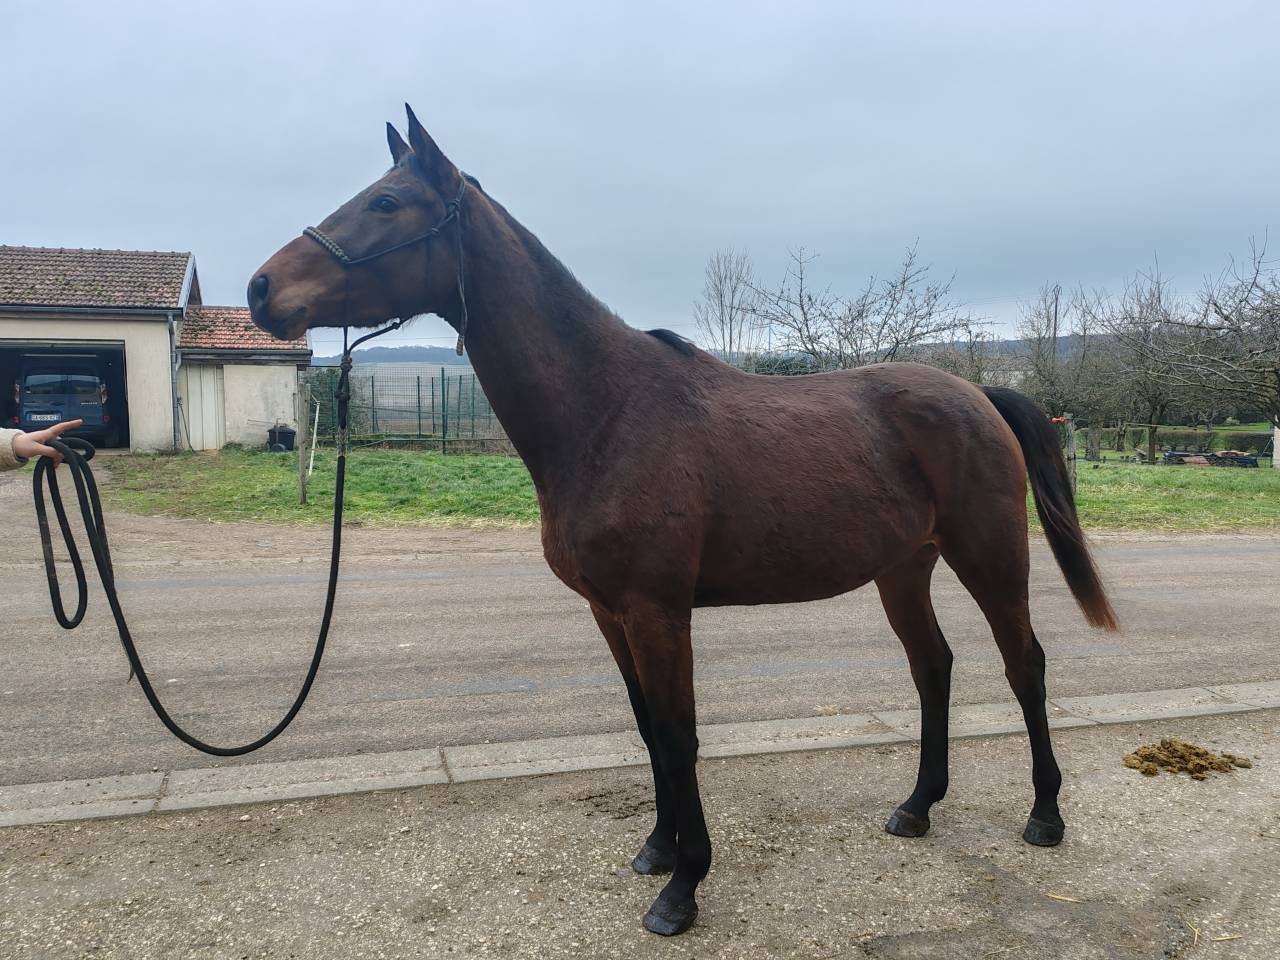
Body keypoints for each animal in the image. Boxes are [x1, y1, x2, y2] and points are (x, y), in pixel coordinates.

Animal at [247, 105, 1118, 937]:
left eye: (386, 203)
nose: (261, 290)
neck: (605, 412)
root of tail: (980, 396)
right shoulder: (610, 613)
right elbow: (646, 728)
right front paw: (657, 850)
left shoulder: (658, 612)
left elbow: (679, 734)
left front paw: (683, 888)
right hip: (904, 567)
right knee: (933, 666)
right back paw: (916, 807)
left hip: (990, 558)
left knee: (1025, 666)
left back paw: (1045, 815)